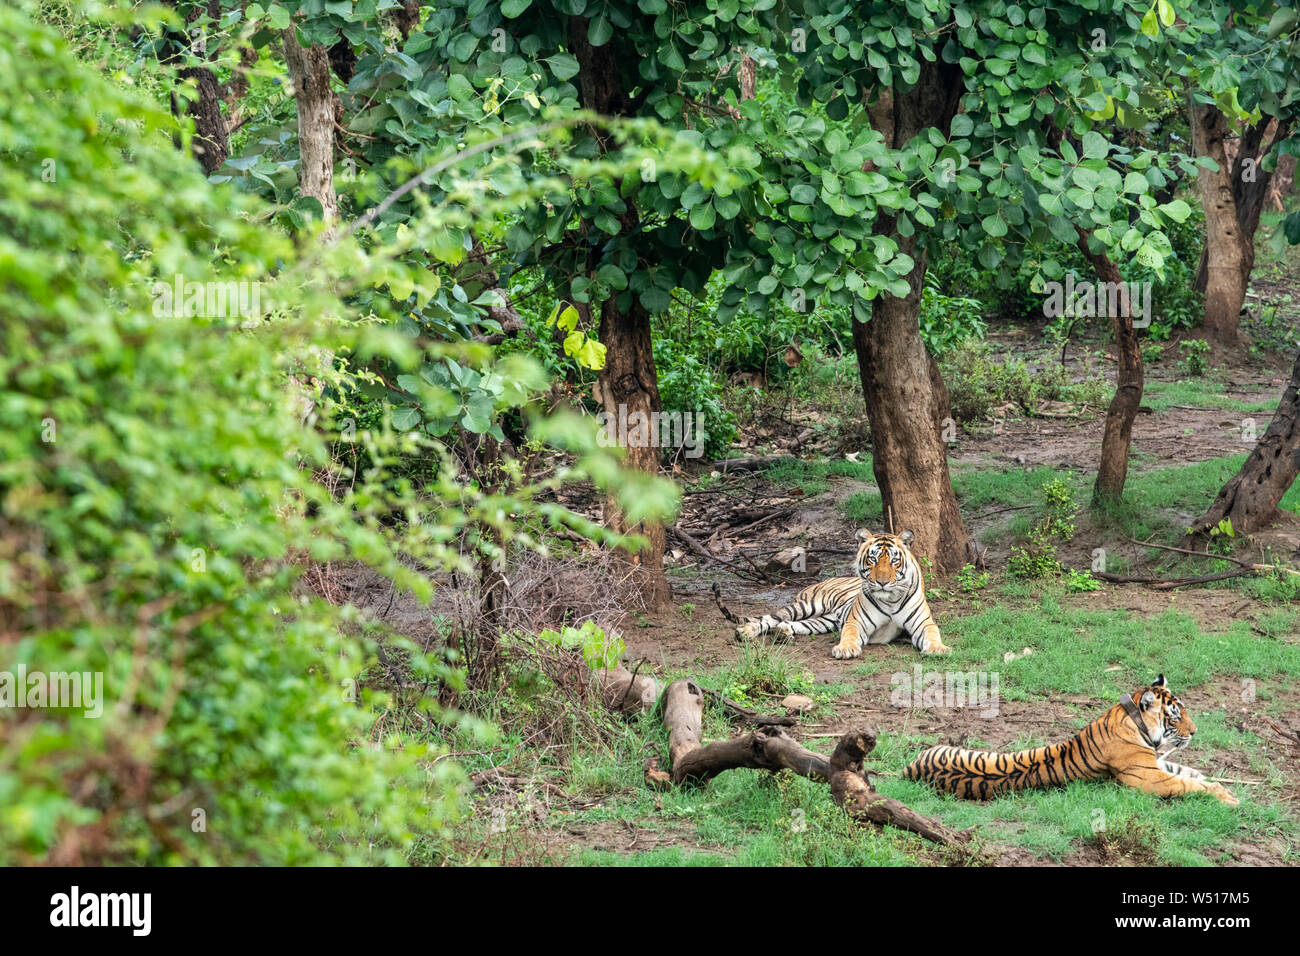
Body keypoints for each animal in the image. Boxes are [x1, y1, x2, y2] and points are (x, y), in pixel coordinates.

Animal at [717, 530, 951, 658]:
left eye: (894, 560)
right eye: (873, 559)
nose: (883, 583)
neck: (890, 599)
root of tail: (825, 579)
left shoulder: (924, 623)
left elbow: (933, 634)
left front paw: (938, 649)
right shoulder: (856, 622)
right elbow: (849, 635)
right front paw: (845, 650)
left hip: (824, 621)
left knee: (791, 624)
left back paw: (783, 633)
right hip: (806, 605)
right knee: (769, 618)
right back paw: (745, 632)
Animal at [904, 671, 1237, 806]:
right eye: (1175, 715)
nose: (1195, 732)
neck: (1131, 719)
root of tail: (909, 769)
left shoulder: (1156, 764)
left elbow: (1189, 772)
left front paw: (1219, 783)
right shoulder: (1150, 778)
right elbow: (1188, 784)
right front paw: (1228, 797)